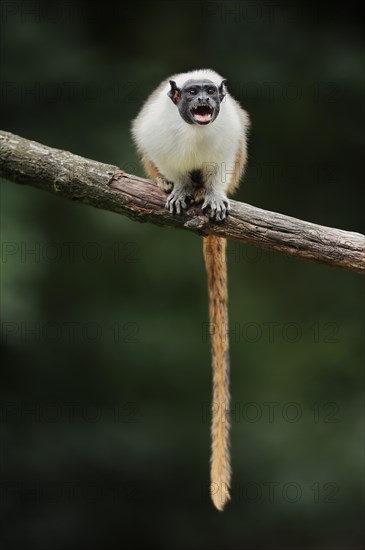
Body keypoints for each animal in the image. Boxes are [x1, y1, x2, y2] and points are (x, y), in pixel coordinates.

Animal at [130, 70, 247, 512]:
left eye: (210, 93)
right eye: (192, 92)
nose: (203, 101)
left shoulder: (229, 130)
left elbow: (222, 162)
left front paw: (212, 194)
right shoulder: (156, 130)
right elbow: (155, 148)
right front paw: (178, 186)